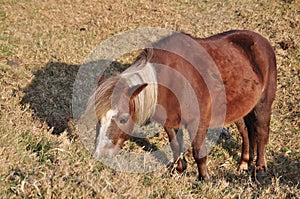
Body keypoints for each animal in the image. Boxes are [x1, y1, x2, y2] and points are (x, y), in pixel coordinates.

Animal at [86, 30, 276, 181]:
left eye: (124, 119)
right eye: (98, 119)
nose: (100, 154)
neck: (171, 81)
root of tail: (261, 40)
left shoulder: (197, 123)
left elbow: (198, 152)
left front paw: (204, 178)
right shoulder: (170, 122)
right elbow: (176, 145)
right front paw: (179, 169)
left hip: (263, 104)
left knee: (261, 134)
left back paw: (259, 168)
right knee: (246, 131)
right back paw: (244, 162)